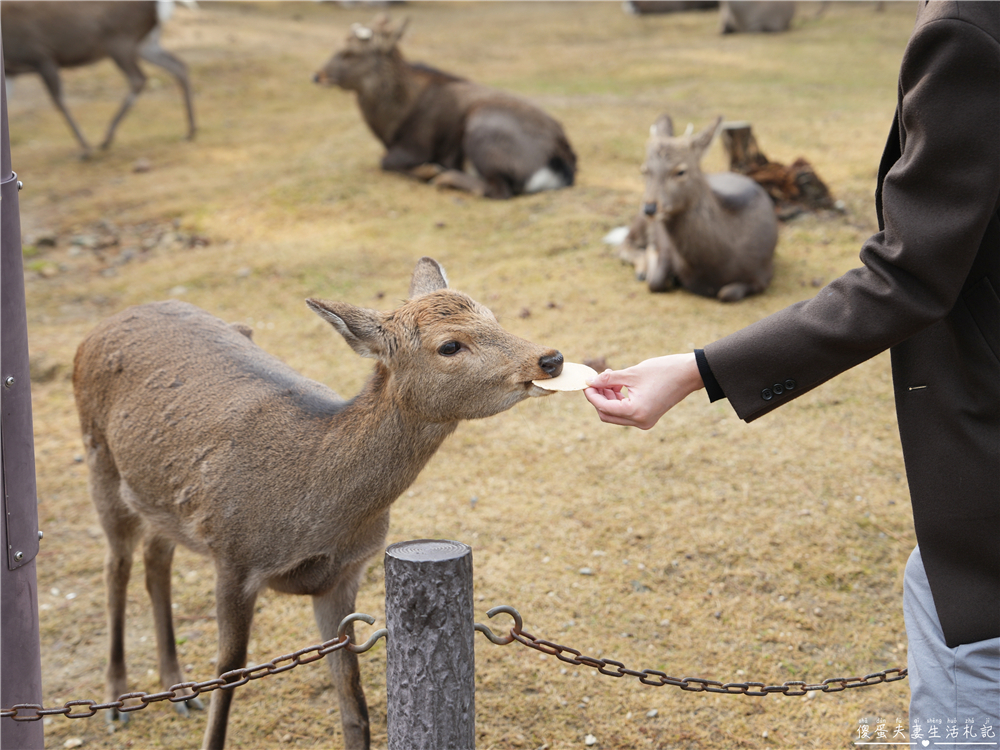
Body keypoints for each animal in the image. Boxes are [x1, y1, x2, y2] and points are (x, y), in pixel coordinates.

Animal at [1, 0, 196, 156]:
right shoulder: (11, 73)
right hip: (146, 42)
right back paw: (190, 130)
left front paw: (86, 148)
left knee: (138, 79)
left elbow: (59, 101)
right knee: (178, 66)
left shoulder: (42, 56)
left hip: (120, 39)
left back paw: (106, 139)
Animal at [72, 257, 564, 749]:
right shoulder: (233, 557)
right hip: (100, 463)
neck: (315, 513)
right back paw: (116, 701)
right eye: (449, 345)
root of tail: (103, 325)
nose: (551, 358)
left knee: (156, 560)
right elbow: (229, 673)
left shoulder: (344, 574)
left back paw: (177, 689)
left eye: (493, 317)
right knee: (116, 567)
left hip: (159, 499)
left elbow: (355, 705)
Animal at [313, 15, 577, 200]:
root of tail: (563, 165)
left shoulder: (416, 145)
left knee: (499, 190)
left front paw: (429, 171)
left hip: (482, 127)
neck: (390, 125)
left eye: (349, 52)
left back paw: (444, 178)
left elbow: (385, 162)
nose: (317, 76)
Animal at [621, 114, 778, 302]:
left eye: (681, 171)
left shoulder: (764, 273)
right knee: (625, 243)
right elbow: (655, 282)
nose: (650, 208)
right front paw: (655, 260)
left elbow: (727, 293)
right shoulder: (665, 245)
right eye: (644, 170)